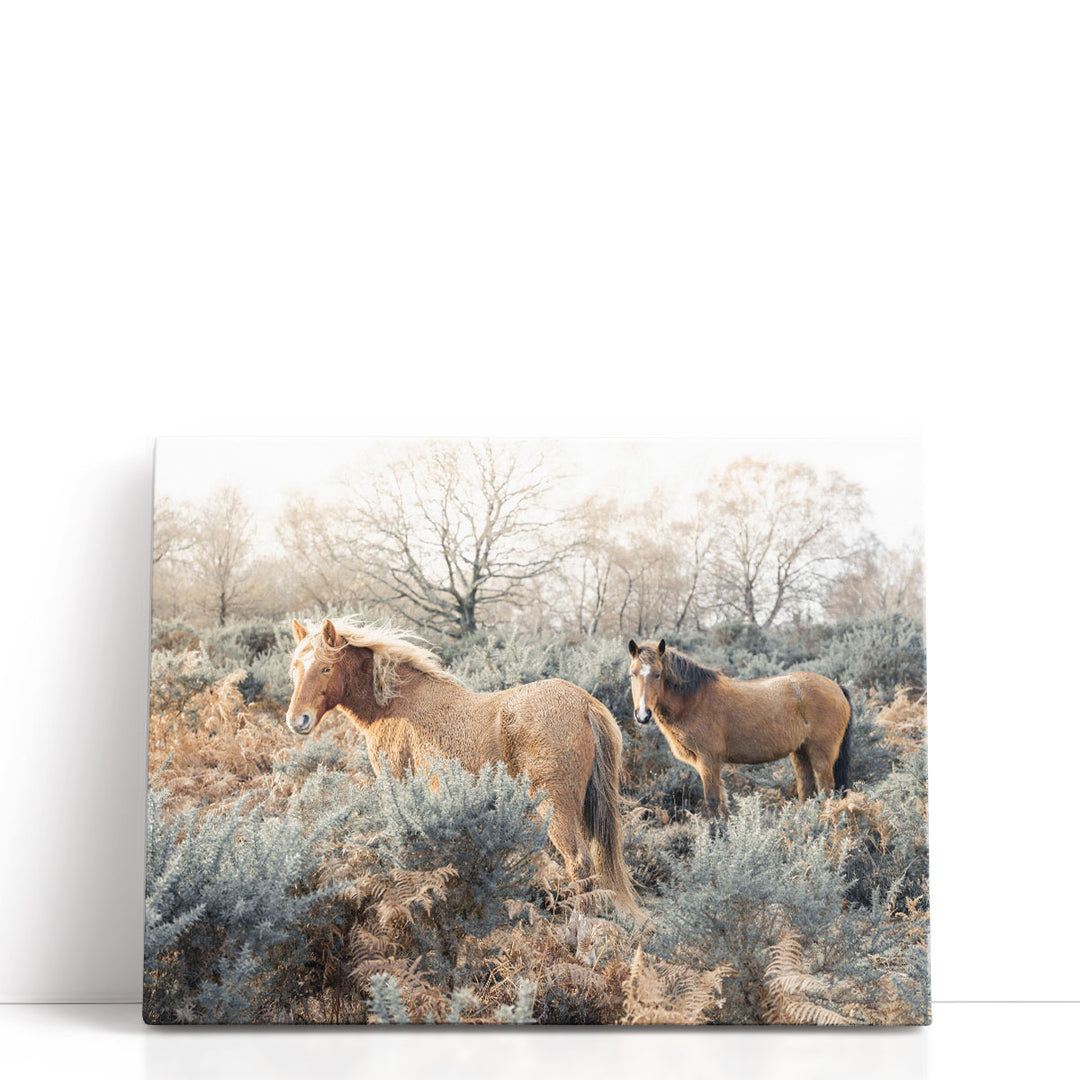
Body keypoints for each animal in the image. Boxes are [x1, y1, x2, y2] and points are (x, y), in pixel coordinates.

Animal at [285, 617, 639, 915]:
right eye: (295, 667)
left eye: (326, 668)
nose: (297, 720)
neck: (395, 704)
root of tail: (584, 704)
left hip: (557, 808)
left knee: (579, 864)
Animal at [627, 638, 853, 820]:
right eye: (632, 674)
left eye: (658, 674)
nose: (642, 715)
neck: (694, 699)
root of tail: (836, 687)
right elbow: (722, 804)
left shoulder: (708, 761)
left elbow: (712, 802)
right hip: (800, 753)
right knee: (807, 792)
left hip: (821, 756)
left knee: (826, 792)